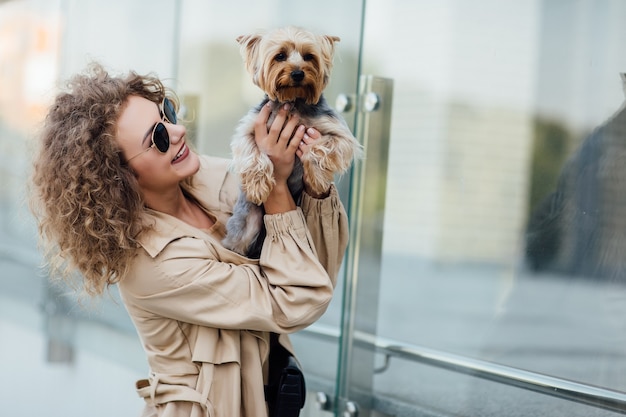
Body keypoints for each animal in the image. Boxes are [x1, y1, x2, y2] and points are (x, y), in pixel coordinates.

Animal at [223, 26, 360, 256]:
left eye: (309, 56)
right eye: (280, 56)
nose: (297, 73)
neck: (294, 99)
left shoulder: (341, 135)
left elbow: (317, 148)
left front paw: (317, 178)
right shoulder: (250, 128)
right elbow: (252, 154)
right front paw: (257, 186)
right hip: (248, 221)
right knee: (237, 241)